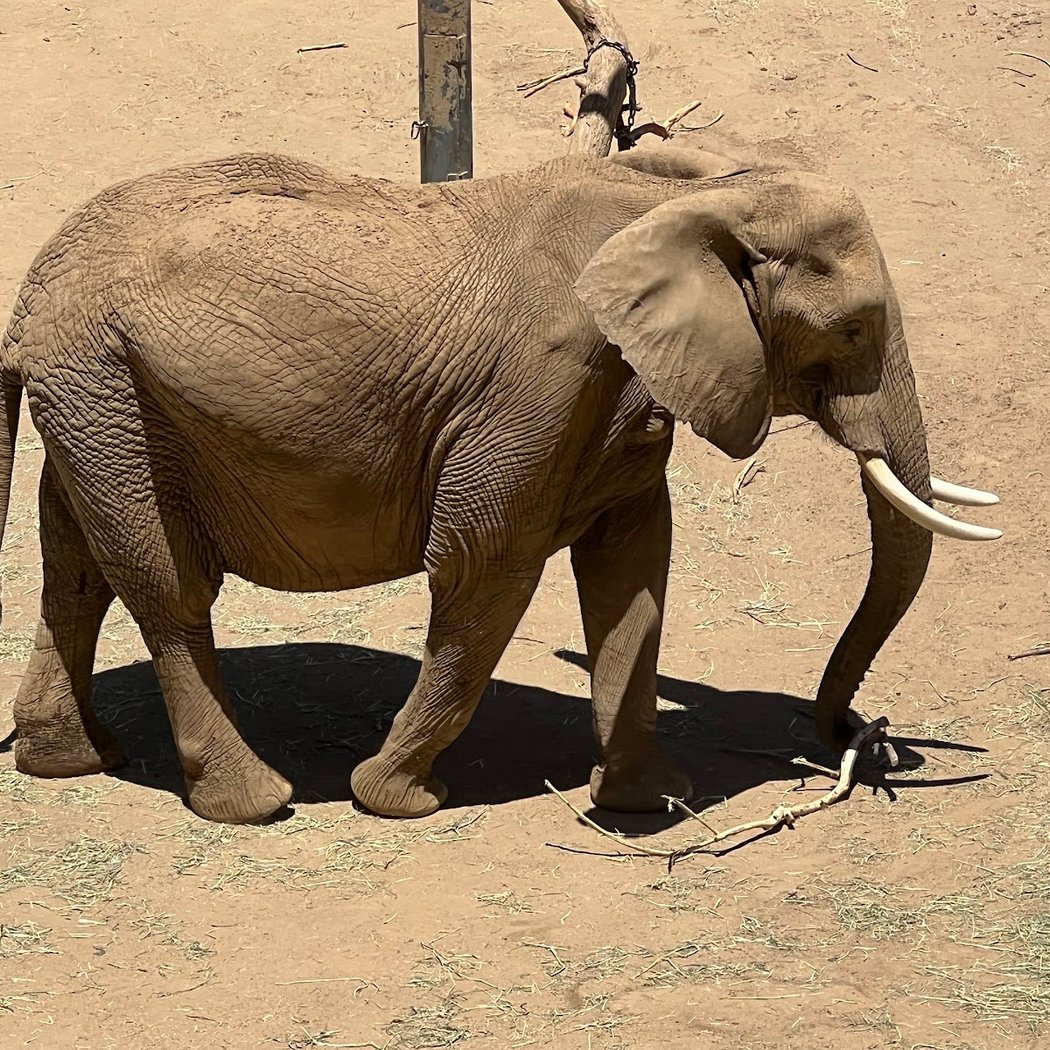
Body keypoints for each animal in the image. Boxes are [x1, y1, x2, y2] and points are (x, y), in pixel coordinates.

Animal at [0, 144, 999, 824]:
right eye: (854, 330)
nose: (854, 734)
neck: (685, 198)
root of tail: (30, 294)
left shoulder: (619, 395)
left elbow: (634, 567)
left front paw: (650, 801)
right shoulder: (540, 383)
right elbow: (486, 564)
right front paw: (399, 798)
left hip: (94, 399)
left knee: (74, 568)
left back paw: (70, 761)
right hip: (105, 385)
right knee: (166, 587)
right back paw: (253, 802)